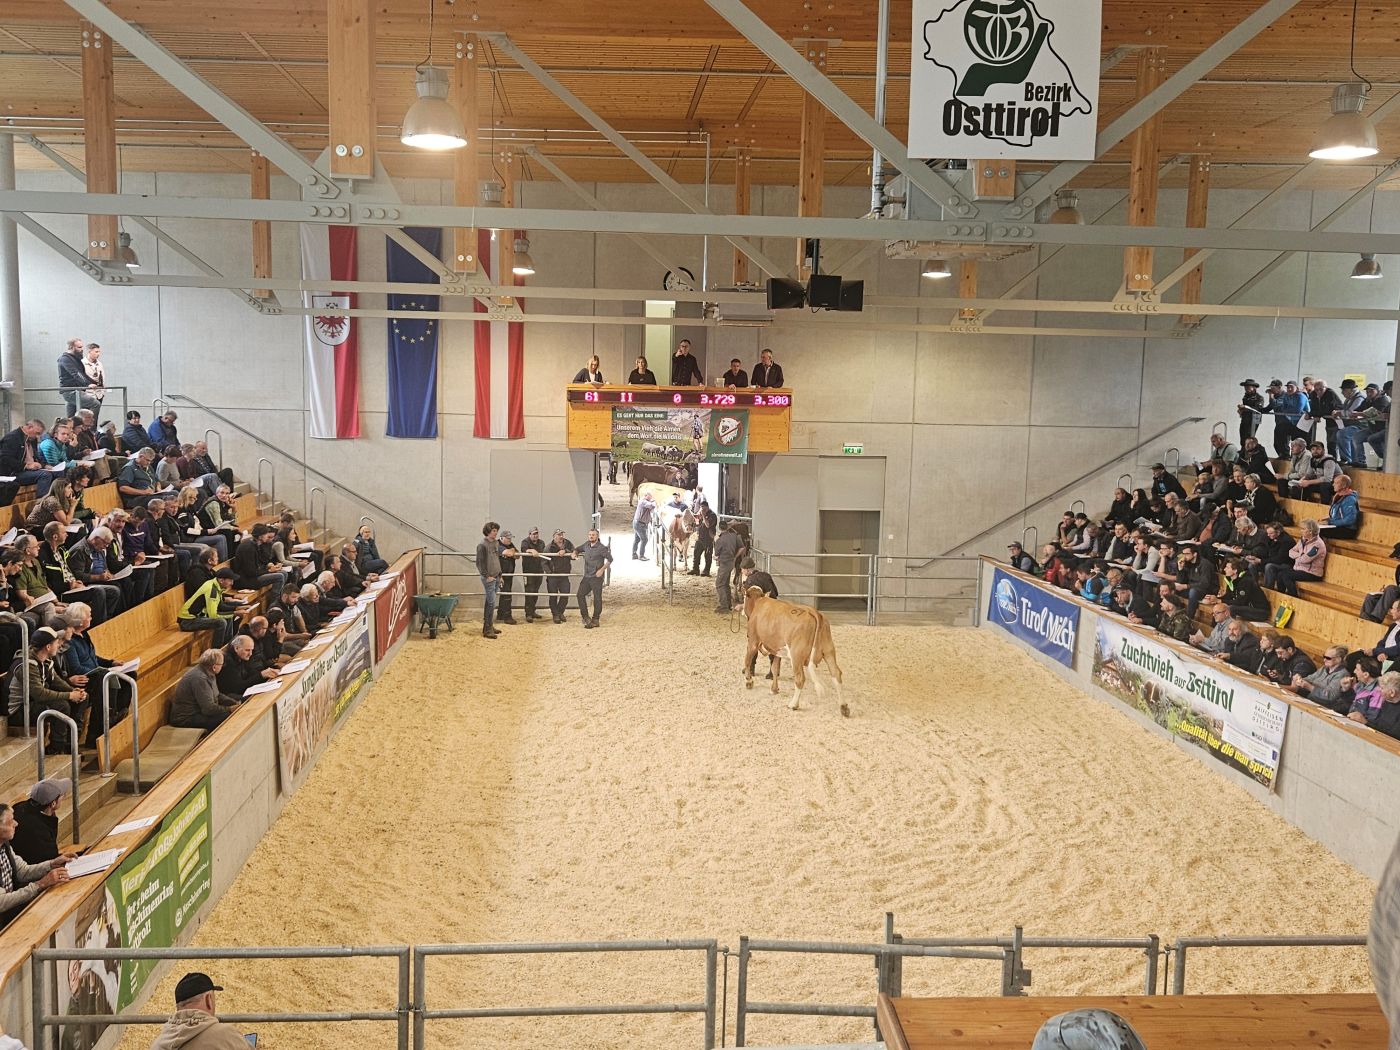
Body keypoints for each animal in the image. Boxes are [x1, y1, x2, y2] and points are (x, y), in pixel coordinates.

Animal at [742, 587, 847, 716]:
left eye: (744, 597)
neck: (760, 602)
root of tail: (814, 612)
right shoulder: (778, 650)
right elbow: (775, 668)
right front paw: (774, 689)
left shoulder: (753, 641)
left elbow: (747, 661)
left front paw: (749, 682)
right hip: (829, 651)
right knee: (836, 674)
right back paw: (844, 707)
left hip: (796, 656)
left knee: (800, 679)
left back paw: (793, 704)